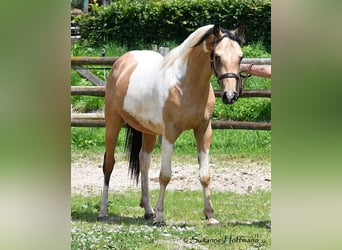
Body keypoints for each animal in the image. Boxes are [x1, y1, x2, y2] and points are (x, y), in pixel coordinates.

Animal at [97, 23, 244, 226]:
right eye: (217, 57)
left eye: (240, 57)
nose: (230, 96)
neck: (184, 85)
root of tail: (122, 62)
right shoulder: (170, 133)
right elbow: (165, 175)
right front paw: (160, 216)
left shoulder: (203, 131)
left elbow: (205, 175)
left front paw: (210, 216)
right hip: (113, 123)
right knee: (109, 164)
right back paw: (103, 211)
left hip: (148, 131)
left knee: (144, 162)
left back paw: (148, 210)